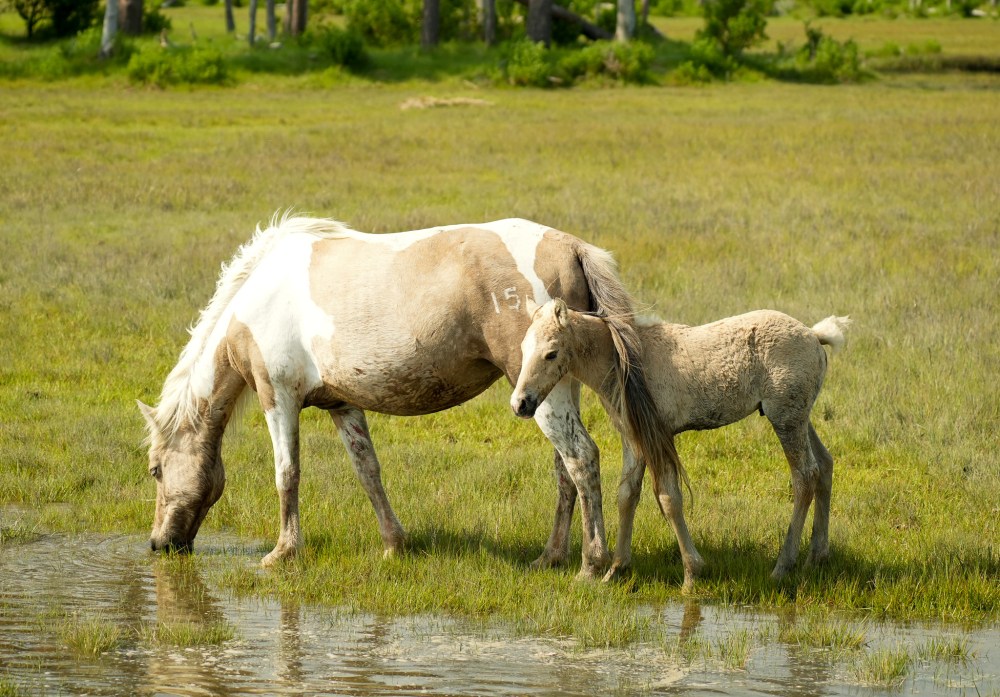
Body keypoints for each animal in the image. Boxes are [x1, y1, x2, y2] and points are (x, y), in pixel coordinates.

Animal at [138, 214, 643, 578]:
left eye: (156, 470)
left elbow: (287, 474)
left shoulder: (277, 396)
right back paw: (551, 557)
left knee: (581, 458)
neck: (257, 299)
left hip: (540, 394)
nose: (159, 544)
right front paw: (393, 545)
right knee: (565, 471)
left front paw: (283, 552)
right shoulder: (342, 404)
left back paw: (592, 563)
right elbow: (368, 472)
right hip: (550, 389)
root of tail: (572, 248)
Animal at [510, 298, 851, 589]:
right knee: (825, 465)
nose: (521, 404)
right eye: (524, 348)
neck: (624, 362)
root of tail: (813, 335)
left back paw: (783, 566)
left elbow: (669, 499)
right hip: (800, 418)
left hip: (786, 420)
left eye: (551, 353)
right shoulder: (634, 439)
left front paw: (691, 574)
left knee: (805, 477)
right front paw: (616, 570)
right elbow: (627, 496)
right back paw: (816, 557)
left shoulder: (660, 437)